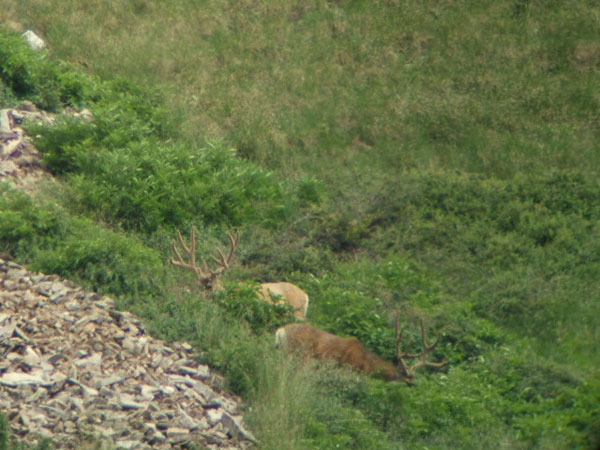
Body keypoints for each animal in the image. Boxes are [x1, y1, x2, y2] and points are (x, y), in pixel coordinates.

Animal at [274, 314, 448, 382]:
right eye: (404, 374)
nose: (413, 382)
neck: (367, 363)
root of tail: (280, 331)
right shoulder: (351, 371)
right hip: (294, 354)